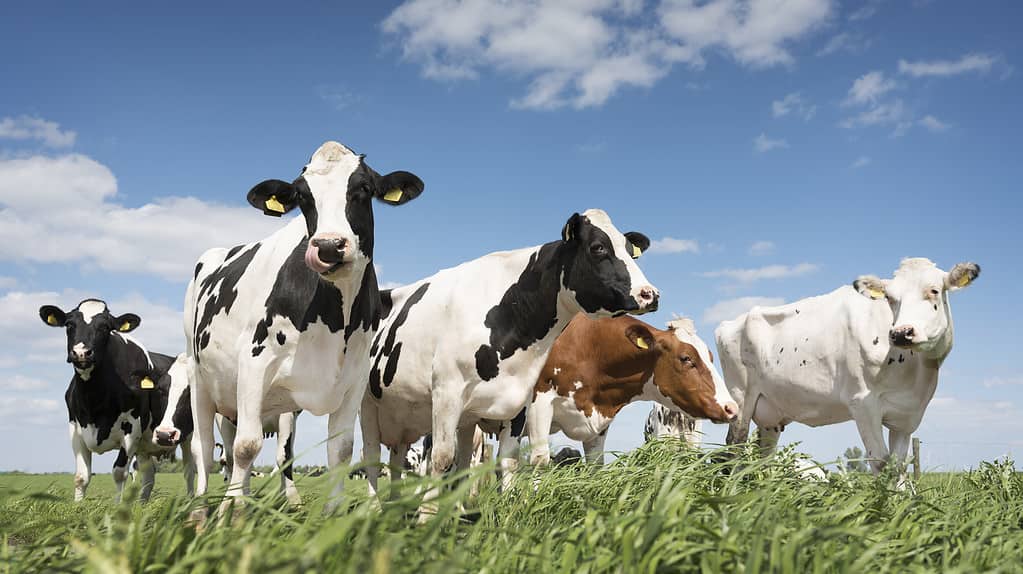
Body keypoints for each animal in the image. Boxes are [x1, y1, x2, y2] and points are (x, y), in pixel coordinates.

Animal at [38, 296, 194, 499]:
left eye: (105, 327)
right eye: (69, 324)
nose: (81, 353)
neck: (94, 400)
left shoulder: (132, 430)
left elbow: (119, 473)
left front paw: (117, 506)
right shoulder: (75, 430)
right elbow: (81, 477)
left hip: (188, 435)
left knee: (189, 470)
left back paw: (191, 500)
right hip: (146, 445)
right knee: (148, 475)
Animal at [185, 140, 423, 509]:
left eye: (363, 189)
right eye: (302, 196)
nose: (328, 246)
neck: (335, 319)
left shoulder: (353, 378)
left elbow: (340, 450)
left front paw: (334, 511)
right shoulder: (254, 361)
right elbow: (246, 446)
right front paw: (232, 511)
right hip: (199, 376)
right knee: (206, 447)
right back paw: (202, 506)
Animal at [362, 207, 662, 507]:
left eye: (630, 251)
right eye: (598, 247)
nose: (651, 294)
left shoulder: (520, 401)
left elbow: (507, 461)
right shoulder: (447, 391)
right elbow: (442, 458)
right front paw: (428, 515)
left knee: (414, 459)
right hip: (367, 403)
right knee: (372, 458)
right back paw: (374, 508)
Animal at [716, 258, 977, 478]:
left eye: (934, 291)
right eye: (889, 298)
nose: (901, 333)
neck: (916, 371)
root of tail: (731, 322)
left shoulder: (908, 415)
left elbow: (899, 466)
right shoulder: (863, 403)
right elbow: (881, 463)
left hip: (770, 413)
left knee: (764, 457)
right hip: (740, 399)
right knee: (734, 449)